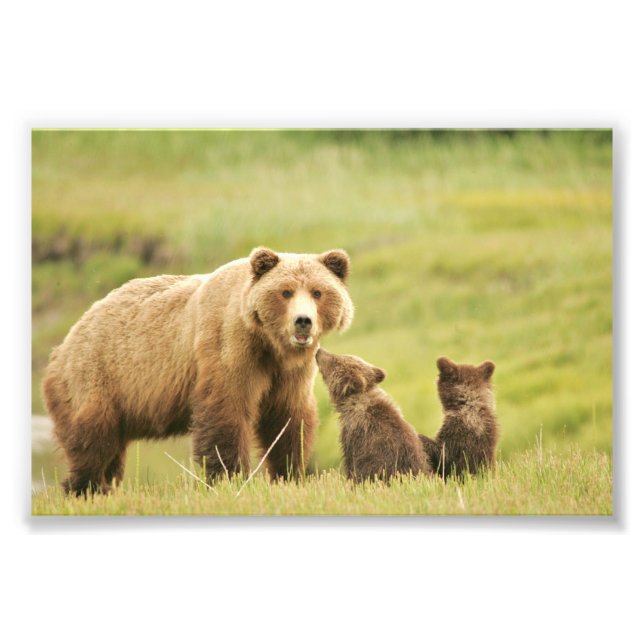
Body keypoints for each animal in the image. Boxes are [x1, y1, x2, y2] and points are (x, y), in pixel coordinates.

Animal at [41, 247, 354, 494]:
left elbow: (287, 418)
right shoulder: (228, 348)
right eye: (285, 292)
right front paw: (228, 477)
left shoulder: (289, 373)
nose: (303, 321)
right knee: (92, 443)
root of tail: (62, 345)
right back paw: (86, 488)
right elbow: (225, 412)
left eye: (317, 292)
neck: (269, 344)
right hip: (96, 377)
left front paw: (289, 473)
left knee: (111, 452)